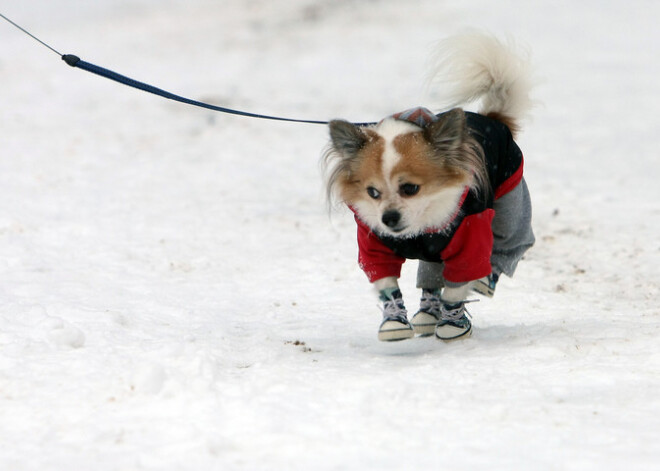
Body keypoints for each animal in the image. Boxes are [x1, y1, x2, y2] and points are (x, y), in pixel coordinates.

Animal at [324, 32, 536, 342]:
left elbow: (458, 285)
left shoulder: (469, 237)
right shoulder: (373, 244)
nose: (389, 218)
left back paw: (486, 278)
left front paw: (453, 322)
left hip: (510, 202)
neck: (418, 231)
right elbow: (385, 281)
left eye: (410, 188)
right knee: (431, 274)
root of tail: (494, 118)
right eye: (372, 193)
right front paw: (394, 319)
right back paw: (427, 312)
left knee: (511, 243)